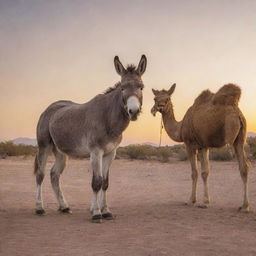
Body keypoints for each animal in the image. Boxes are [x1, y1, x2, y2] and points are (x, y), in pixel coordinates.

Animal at [151, 83, 249, 211]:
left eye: (167, 99)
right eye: (155, 99)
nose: (160, 107)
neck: (180, 128)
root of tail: (237, 113)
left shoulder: (190, 144)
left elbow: (195, 172)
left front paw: (193, 201)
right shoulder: (204, 146)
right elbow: (205, 172)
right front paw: (205, 201)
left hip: (231, 133)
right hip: (240, 139)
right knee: (244, 168)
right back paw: (245, 206)